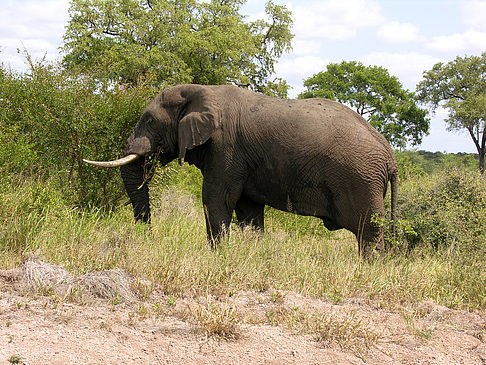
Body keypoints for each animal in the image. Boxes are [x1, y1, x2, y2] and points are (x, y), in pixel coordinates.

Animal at [83, 84, 396, 258]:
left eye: (149, 120)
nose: (147, 238)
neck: (200, 89)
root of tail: (389, 153)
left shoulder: (226, 147)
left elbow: (216, 198)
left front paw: (218, 256)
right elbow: (248, 209)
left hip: (361, 179)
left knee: (369, 232)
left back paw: (370, 269)